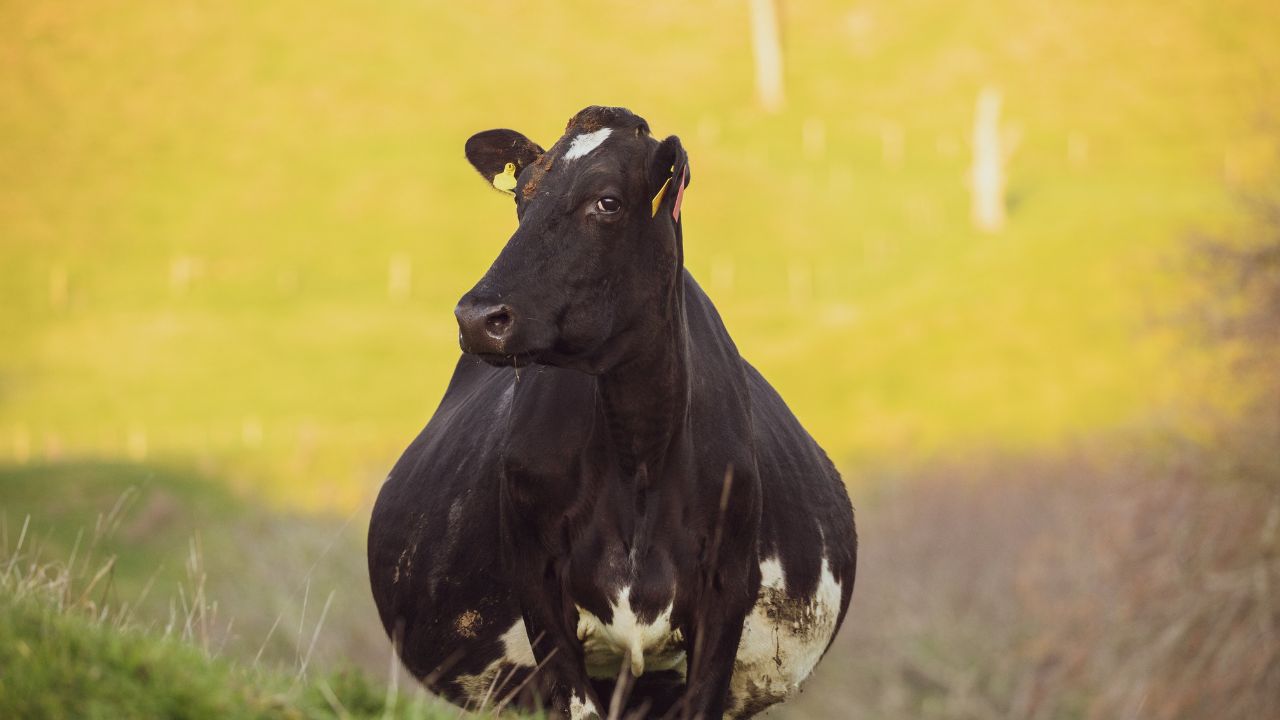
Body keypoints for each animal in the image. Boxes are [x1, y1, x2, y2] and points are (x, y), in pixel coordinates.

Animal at [368, 106, 856, 719]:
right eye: (521, 197)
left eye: (607, 201)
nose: (478, 316)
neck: (639, 455)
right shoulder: (539, 589)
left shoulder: (726, 595)